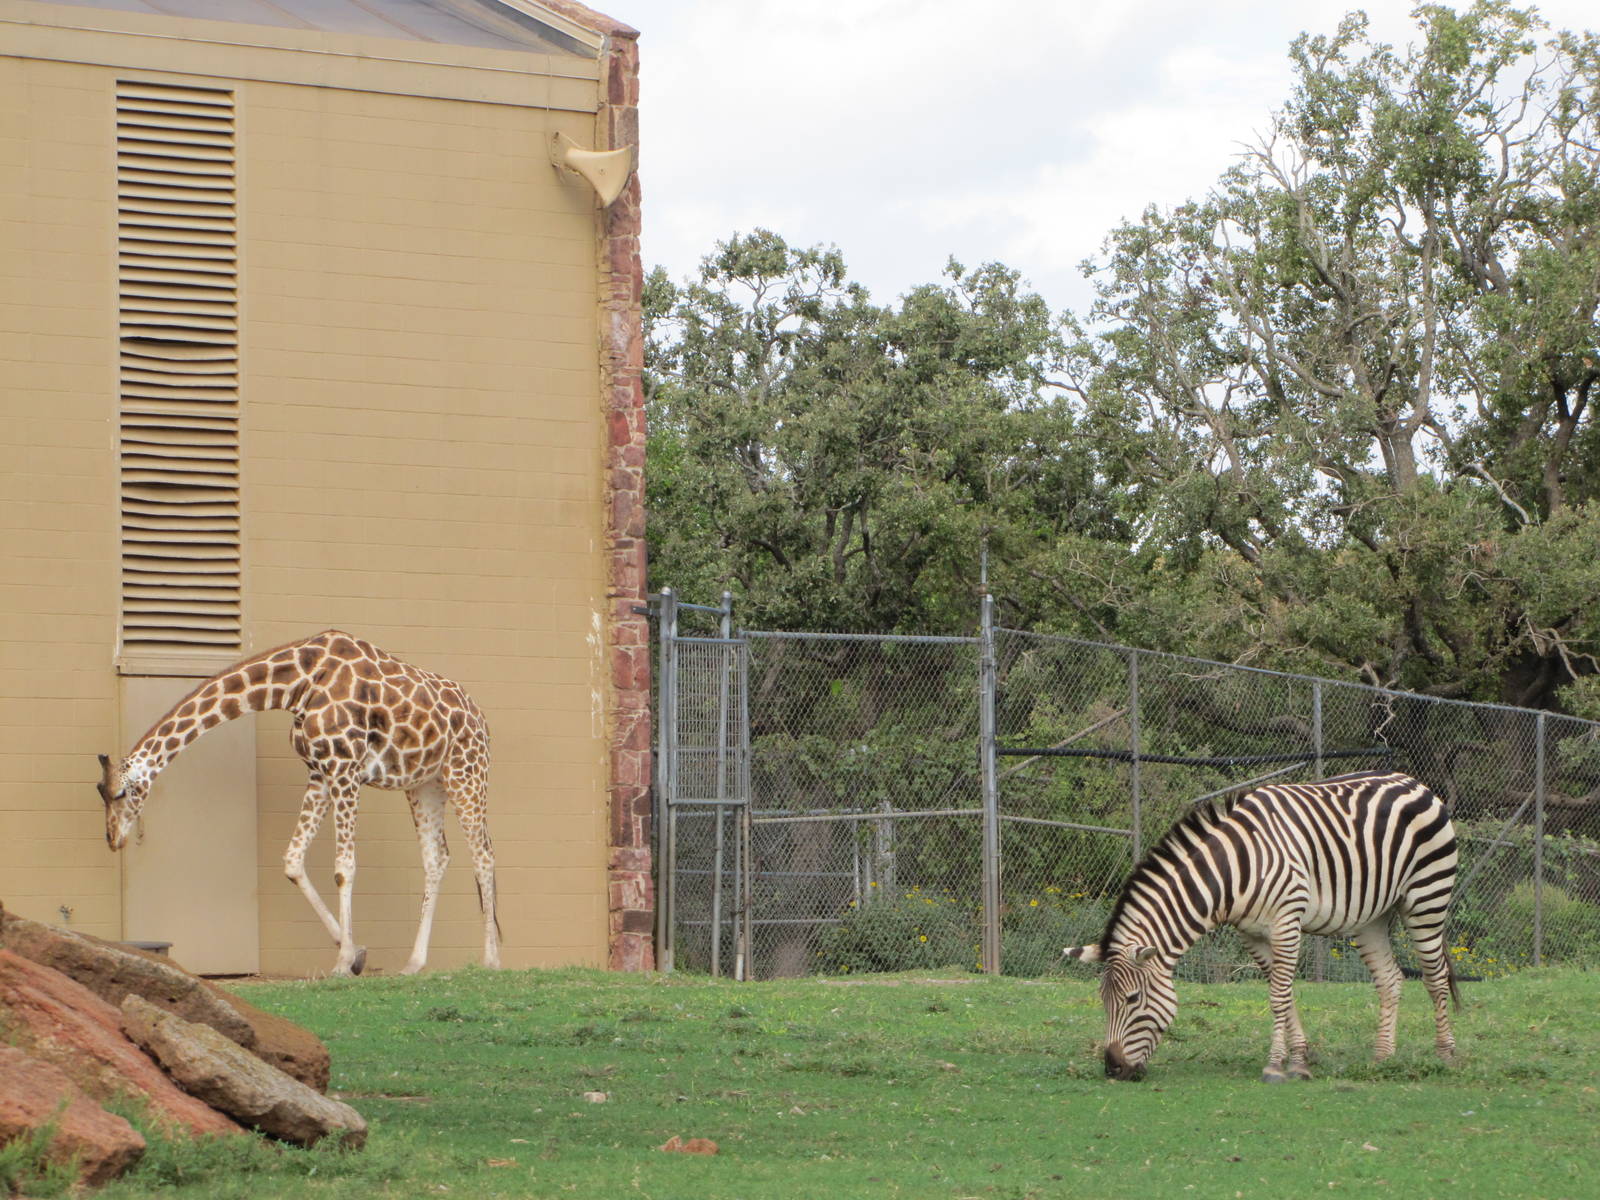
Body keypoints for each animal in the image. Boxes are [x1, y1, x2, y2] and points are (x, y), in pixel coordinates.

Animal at [96, 630, 500, 977]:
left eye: (119, 794)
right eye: (100, 791)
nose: (113, 840)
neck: (297, 683)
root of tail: (481, 718)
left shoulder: (345, 770)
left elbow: (344, 867)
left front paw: (342, 963)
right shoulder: (320, 773)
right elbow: (292, 860)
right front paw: (356, 954)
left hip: (467, 773)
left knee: (483, 856)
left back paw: (491, 961)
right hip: (425, 785)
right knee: (437, 858)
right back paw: (414, 964)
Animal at [1064, 771, 1460, 1082]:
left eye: (1132, 999)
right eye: (1102, 1000)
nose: (1113, 1069)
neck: (1231, 871)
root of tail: (1413, 782)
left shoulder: (1286, 921)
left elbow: (1279, 995)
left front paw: (1275, 1066)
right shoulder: (1252, 934)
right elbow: (1283, 993)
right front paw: (1298, 1060)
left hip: (1427, 897)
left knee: (1435, 976)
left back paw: (1446, 1055)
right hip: (1371, 917)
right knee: (1390, 979)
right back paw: (1382, 1057)